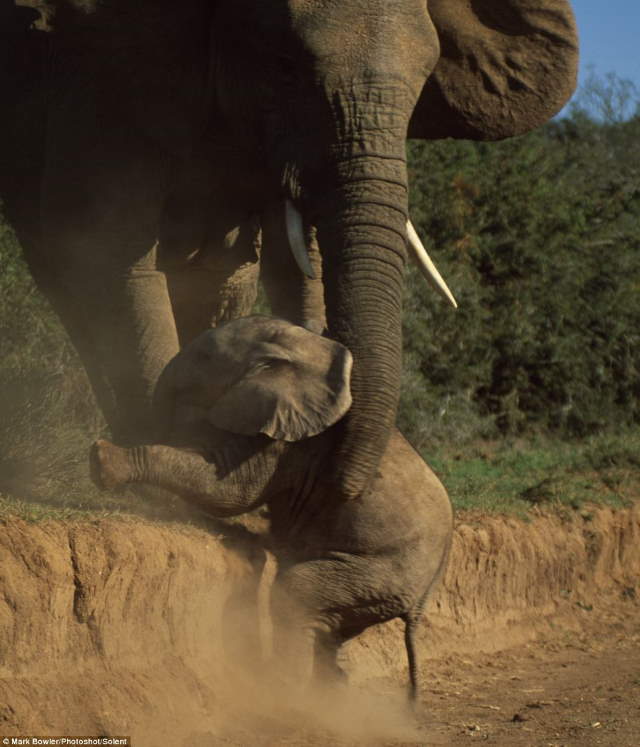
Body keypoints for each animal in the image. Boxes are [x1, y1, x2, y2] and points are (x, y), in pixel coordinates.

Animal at [0, 2, 576, 500]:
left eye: (426, 77)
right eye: (282, 66)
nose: (342, 484)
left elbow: (292, 261)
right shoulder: (103, 71)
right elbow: (115, 253)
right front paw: (168, 489)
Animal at [91, 316, 456, 700]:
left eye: (204, 357)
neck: (305, 345)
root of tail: (420, 605)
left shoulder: (289, 441)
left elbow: (232, 490)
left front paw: (102, 458)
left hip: (378, 572)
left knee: (296, 593)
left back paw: (283, 689)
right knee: (331, 627)